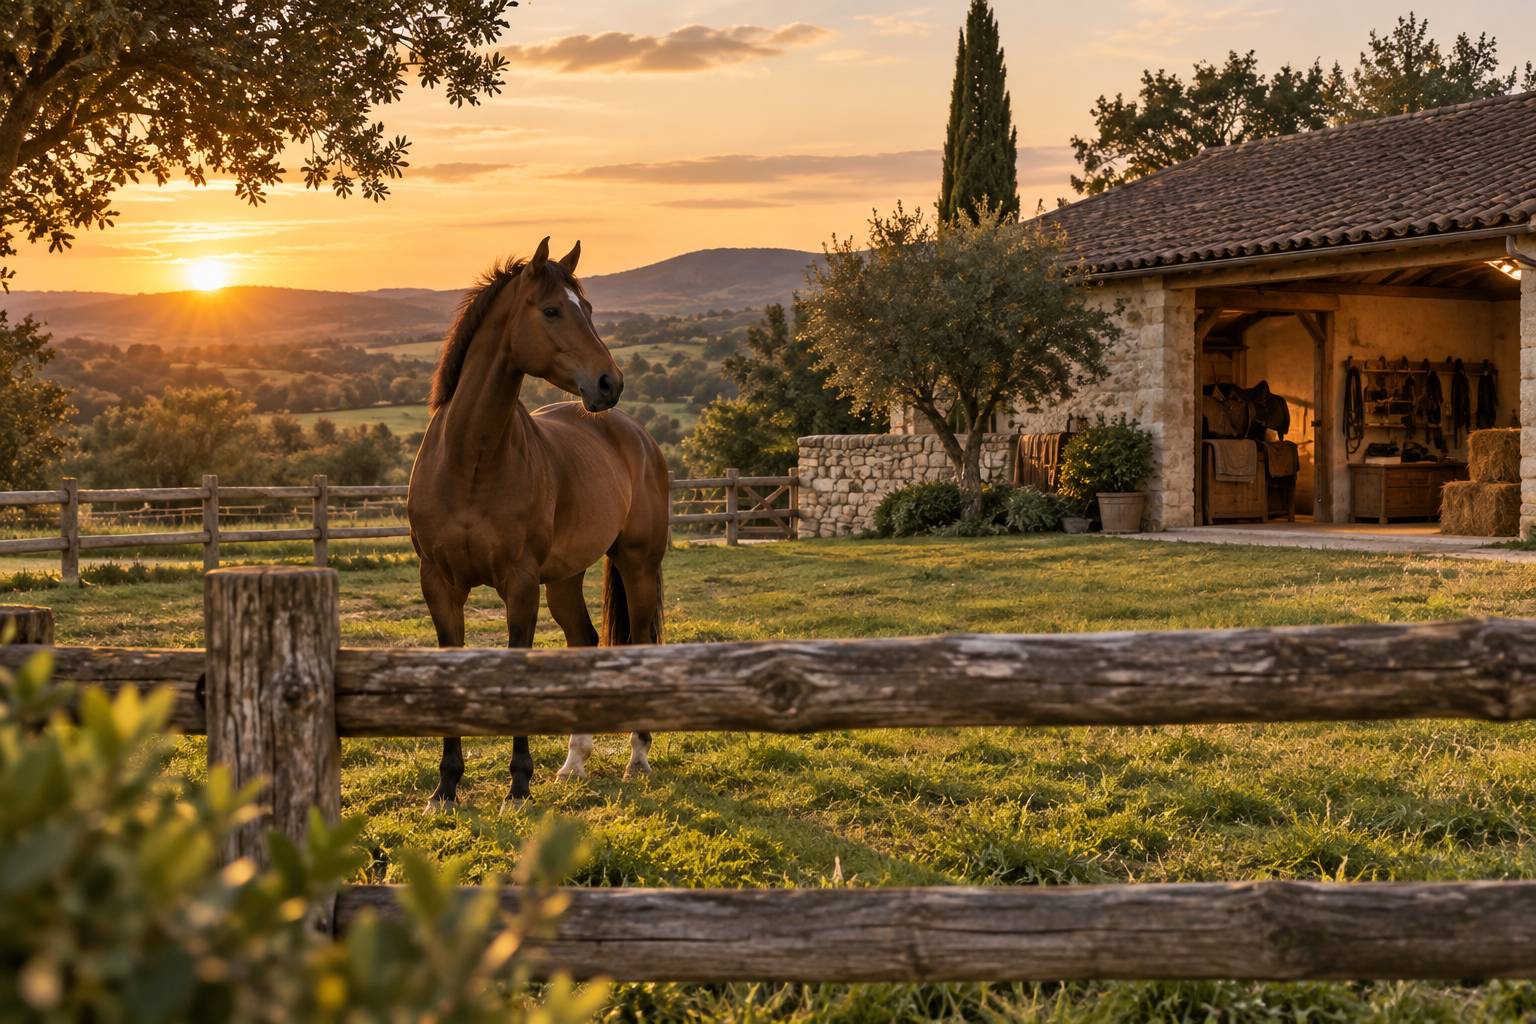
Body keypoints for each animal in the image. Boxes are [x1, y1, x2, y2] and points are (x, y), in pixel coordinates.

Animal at [406, 237, 670, 808]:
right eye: (551, 311)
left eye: (586, 308)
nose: (609, 382)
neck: (471, 460)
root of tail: (635, 433)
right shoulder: (439, 582)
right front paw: (446, 787)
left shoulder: (520, 583)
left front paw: (518, 785)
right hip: (566, 578)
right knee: (584, 640)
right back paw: (574, 762)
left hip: (637, 564)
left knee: (640, 640)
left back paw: (637, 757)